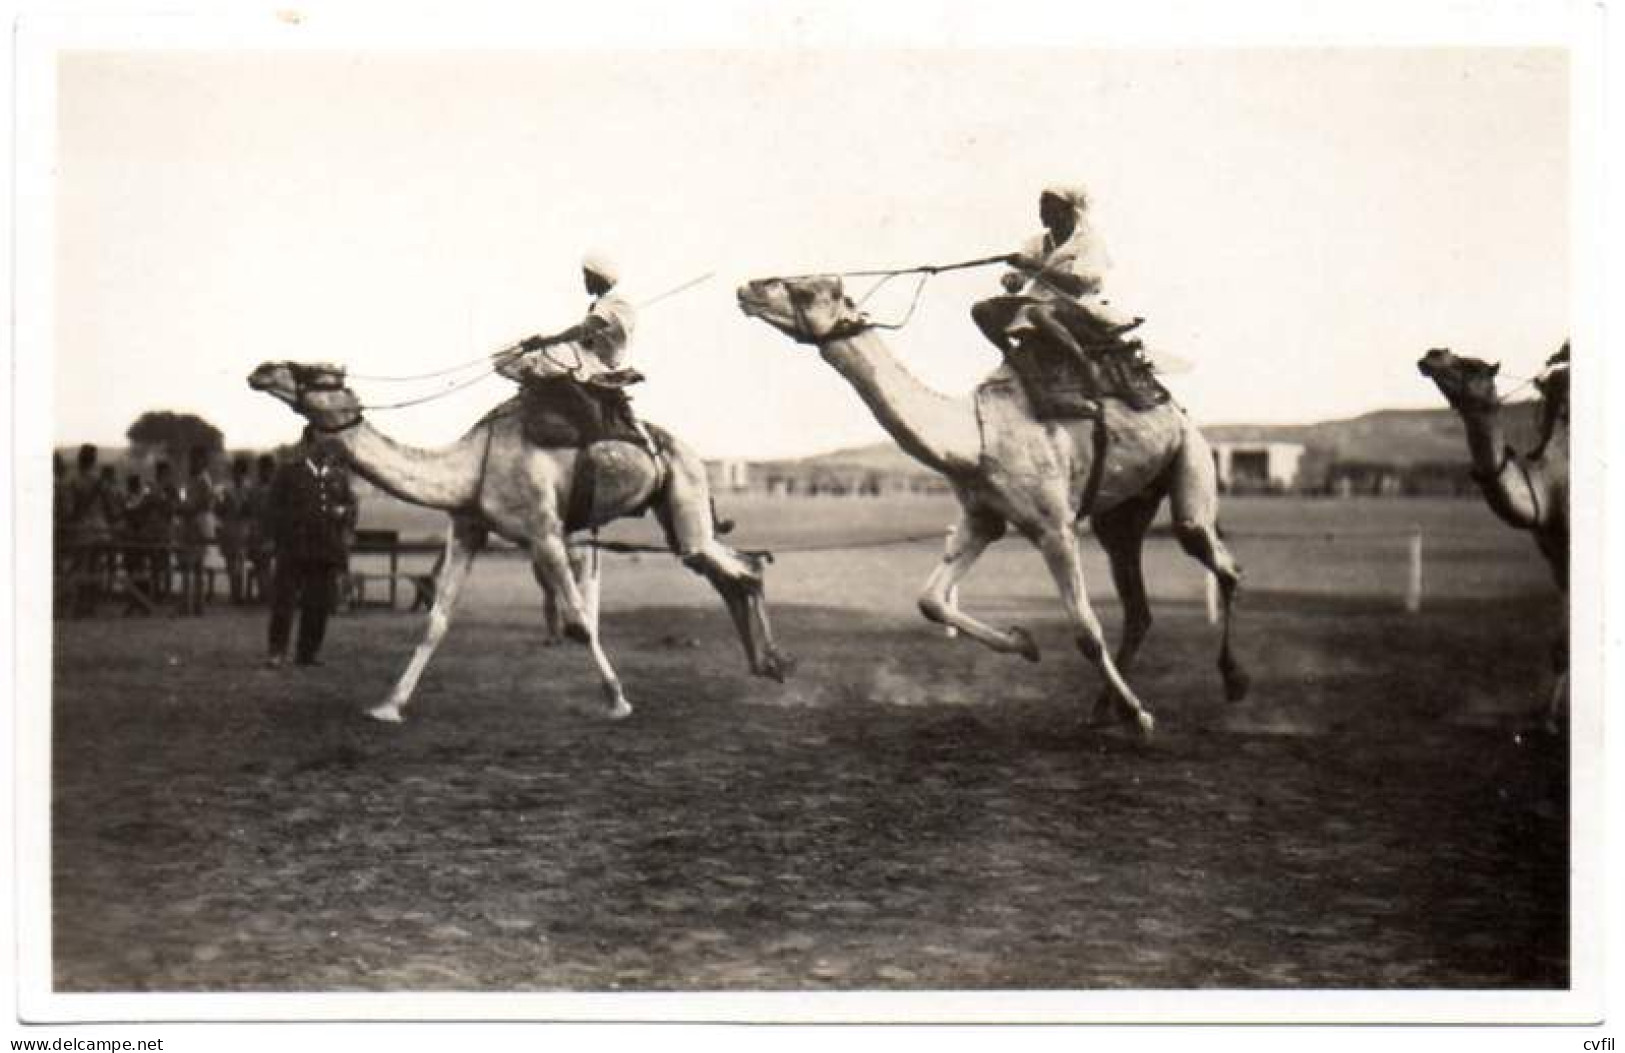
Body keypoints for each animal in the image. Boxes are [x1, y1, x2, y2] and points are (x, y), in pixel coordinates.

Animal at [245, 362, 793, 724]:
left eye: (321, 375)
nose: (262, 370)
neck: (470, 467)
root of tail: (694, 453)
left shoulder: (544, 533)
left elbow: (580, 623)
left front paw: (617, 699)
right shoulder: (467, 528)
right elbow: (435, 621)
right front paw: (389, 705)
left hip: (685, 492)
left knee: (742, 567)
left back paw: (773, 664)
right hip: (678, 520)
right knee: (736, 569)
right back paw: (768, 665)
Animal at [737, 273, 1241, 741]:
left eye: (808, 290)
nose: (749, 287)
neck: (972, 438)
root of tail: (1174, 408)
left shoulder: (1054, 528)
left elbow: (1085, 629)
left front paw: (1141, 716)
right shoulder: (982, 518)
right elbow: (931, 601)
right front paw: (1025, 642)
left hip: (1190, 460)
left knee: (1219, 560)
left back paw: (1230, 683)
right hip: (1122, 515)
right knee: (1139, 607)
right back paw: (1104, 708)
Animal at [1417, 346, 1566, 724]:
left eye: (1473, 366)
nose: (1432, 354)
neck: (1546, 488)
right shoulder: (1557, 561)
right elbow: (1560, 647)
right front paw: (1548, 717)